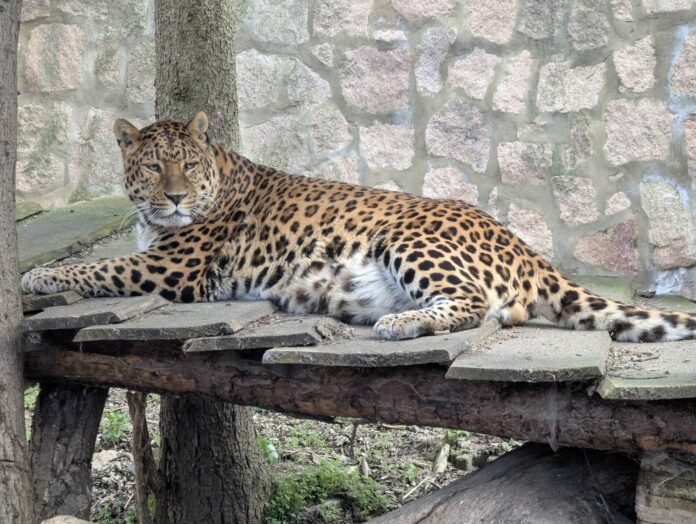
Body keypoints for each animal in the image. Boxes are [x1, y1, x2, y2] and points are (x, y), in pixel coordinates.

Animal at [22, 112, 696, 342]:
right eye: (152, 166)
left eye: (186, 164)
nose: (175, 197)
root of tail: (525, 246)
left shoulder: (171, 270)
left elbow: (99, 264)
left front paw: (36, 276)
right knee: (497, 311)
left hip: (409, 237)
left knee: (475, 304)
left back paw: (398, 324)